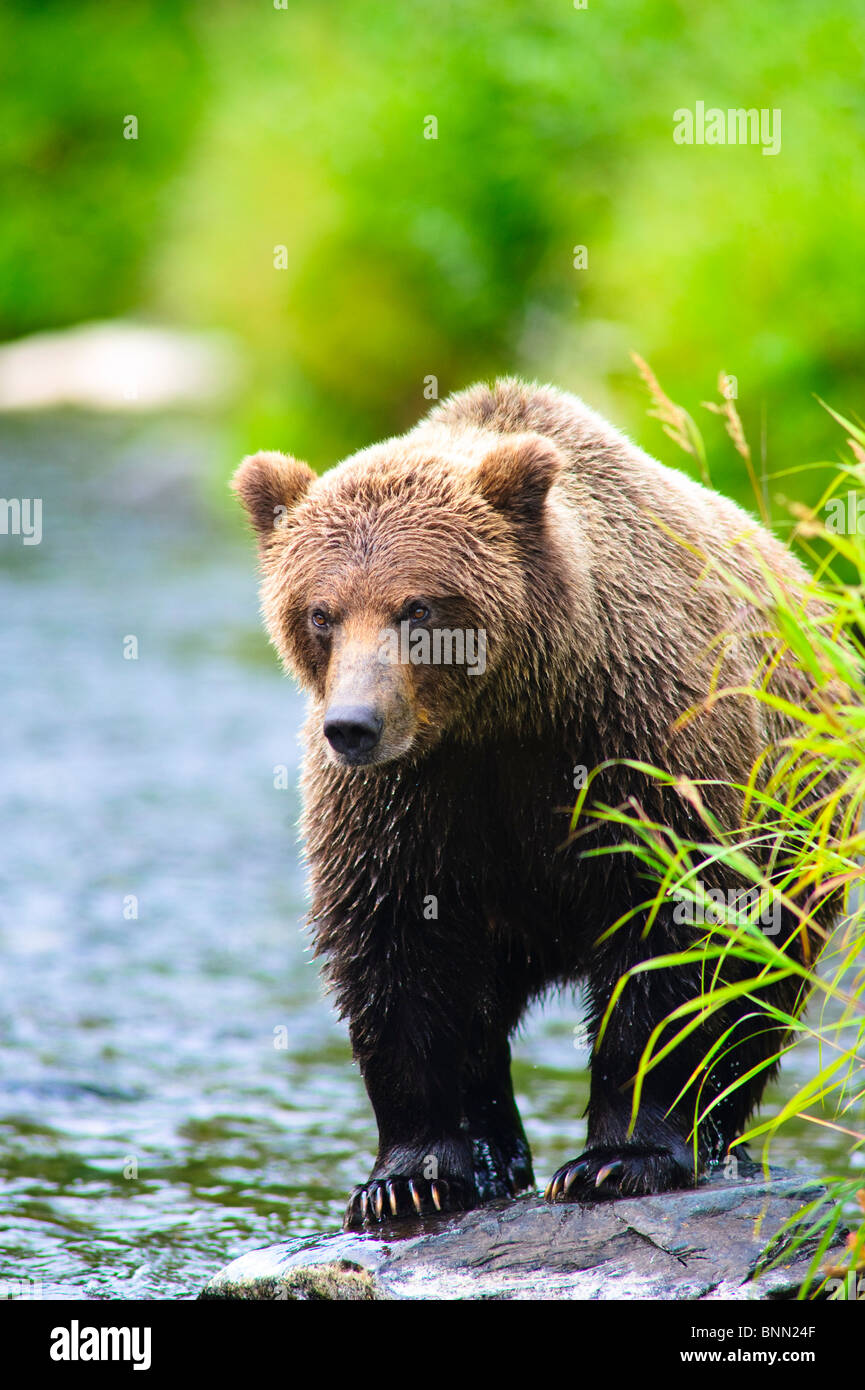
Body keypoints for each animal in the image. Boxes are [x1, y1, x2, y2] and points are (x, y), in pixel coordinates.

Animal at [233, 377, 834, 1227]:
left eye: (417, 606)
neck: (505, 714)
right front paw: (411, 1177)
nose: (352, 726)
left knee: (761, 989)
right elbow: (400, 951)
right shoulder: (408, 801)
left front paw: (617, 1159)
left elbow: (672, 940)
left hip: (802, 827)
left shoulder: (640, 746)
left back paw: (719, 1140)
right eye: (320, 612)